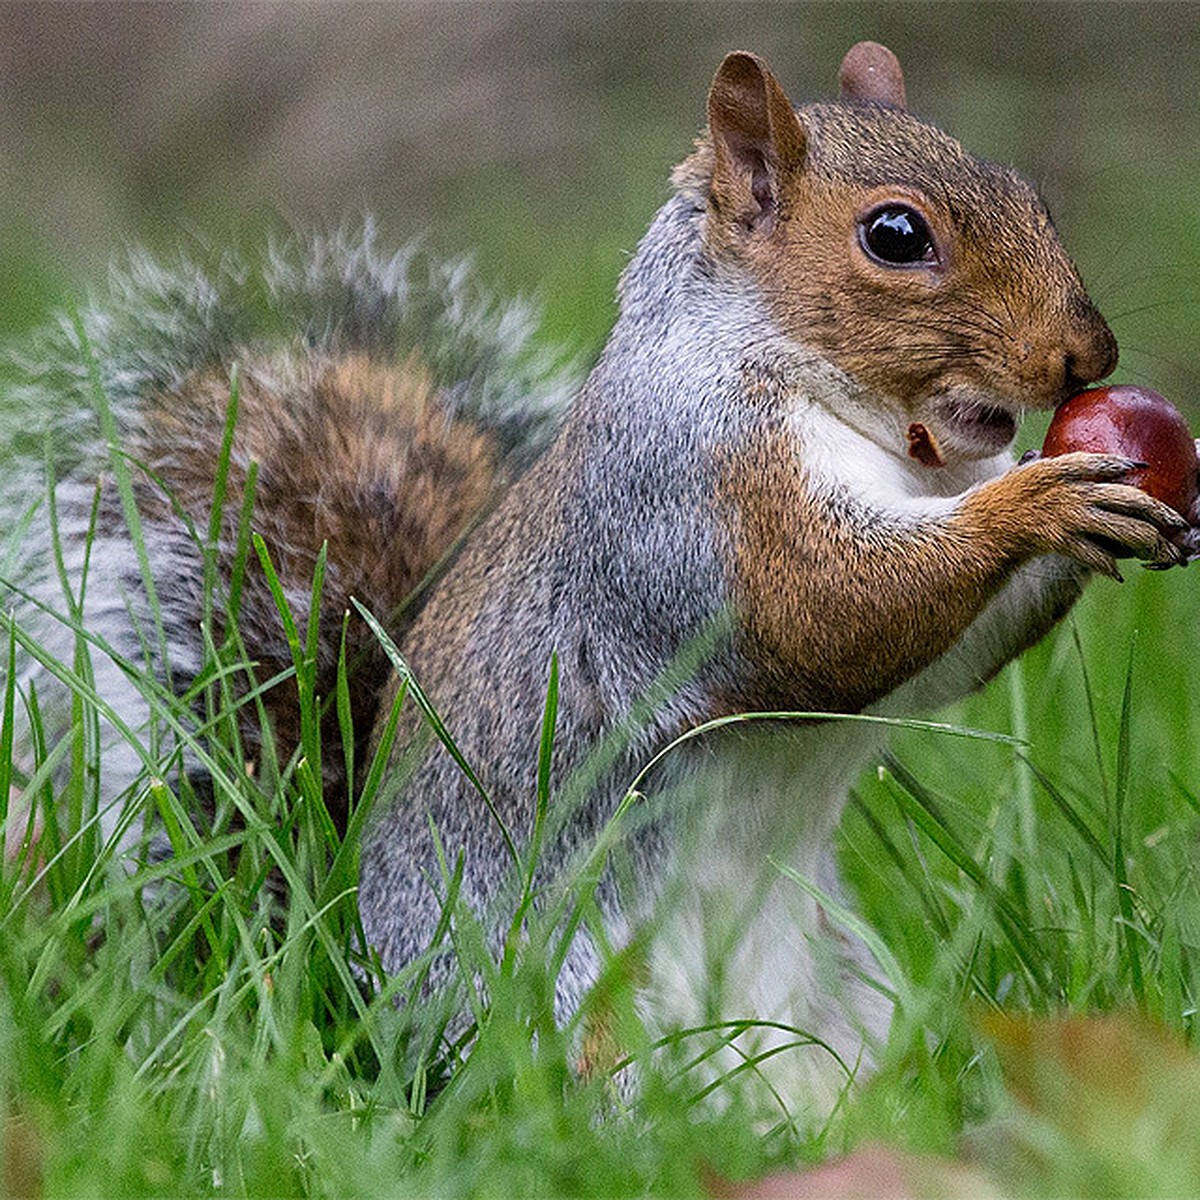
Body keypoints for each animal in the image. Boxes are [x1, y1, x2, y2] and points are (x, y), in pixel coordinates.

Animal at [0, 39, 1190, 1104]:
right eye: (896, 234)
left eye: (1030, 193)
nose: (1088, 357)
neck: (885, 436)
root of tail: (348, 966)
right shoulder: (690, 502)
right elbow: (826, 609)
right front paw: (1039, 504)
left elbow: (945, 653)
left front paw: (1132, 513)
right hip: (558, 1005)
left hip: (853, 1001)